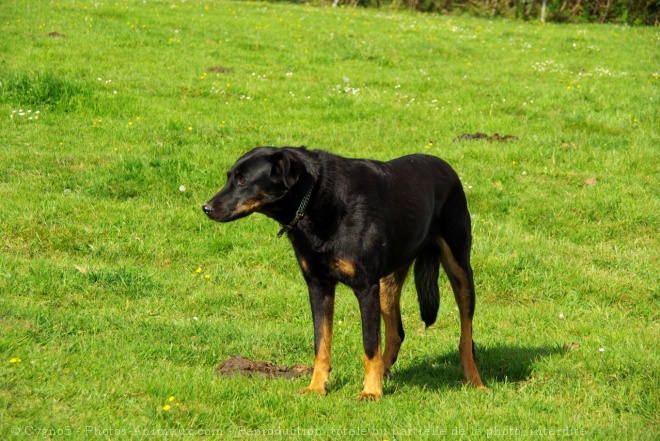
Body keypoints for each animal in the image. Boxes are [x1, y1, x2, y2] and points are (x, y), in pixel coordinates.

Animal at [204, 147, 488, 398]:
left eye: (243, 180)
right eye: (229, 176)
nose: (206, 208)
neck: (315, 199)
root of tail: (446, 168)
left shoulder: (366, 287)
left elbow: (370, 346)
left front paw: (371, 392)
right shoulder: (318, 286)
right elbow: (321, 344)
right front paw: (317, 387)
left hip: (460, 269)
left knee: (466, 338)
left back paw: (475, 382)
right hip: (388, 280)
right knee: (396, 333)